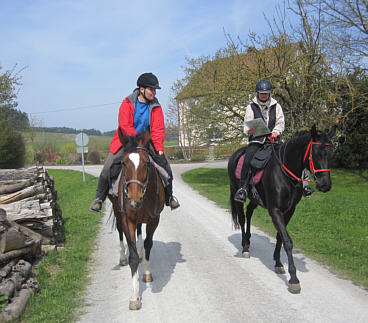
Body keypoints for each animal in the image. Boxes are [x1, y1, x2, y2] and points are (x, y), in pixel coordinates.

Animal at [108, 128, 165, 310]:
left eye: (147, 163)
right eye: (123, 163)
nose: (134, 199)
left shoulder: (154, 219)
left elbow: (148, 244)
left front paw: (146, 273)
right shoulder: (128, 220)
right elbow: (132, 255)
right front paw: (134, 297)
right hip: (118, 213)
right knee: (120, 233)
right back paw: (122, 258)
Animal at [229, 125, 334, 294]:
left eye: (331, 153)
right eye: (316, 153)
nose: (325, 185)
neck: (285, 173)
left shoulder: (289, 210)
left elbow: (280, 237)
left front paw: (278, 262)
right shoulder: (275, 210)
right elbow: (287, 241)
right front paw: (294, 278)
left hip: (255, 199)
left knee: (249, 212)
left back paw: (249, 240)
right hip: (236, 193)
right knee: (242, 218)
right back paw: (245, 247)